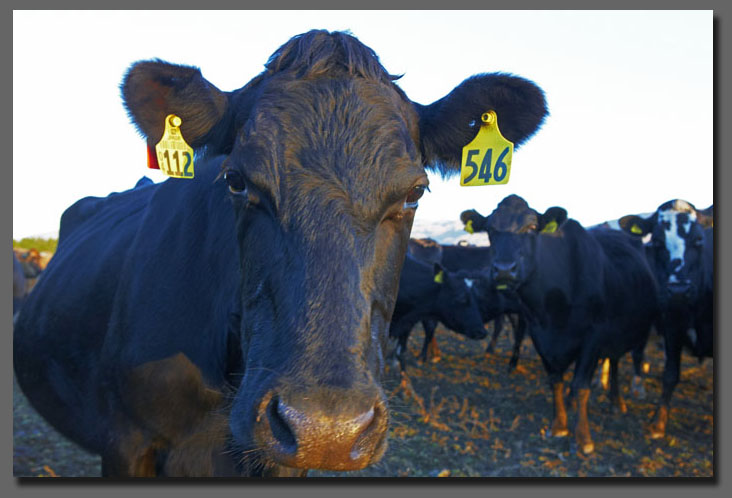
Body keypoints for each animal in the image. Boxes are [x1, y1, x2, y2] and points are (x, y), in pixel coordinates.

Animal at [464, 195, 656, 456]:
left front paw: (583, 438)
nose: (504, 270)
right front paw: (559, 426)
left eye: (532, 227)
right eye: (490, 229)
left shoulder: (593, 336)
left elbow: (581, 385)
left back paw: (616, 402)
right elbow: (555, 381)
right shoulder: (539, 334)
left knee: (615, 361)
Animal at [616, 198, 716, 440]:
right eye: (658, 241)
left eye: (699, 239)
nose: (678, 290)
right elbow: (670, 374)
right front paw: (658, 422)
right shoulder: (672, 325)